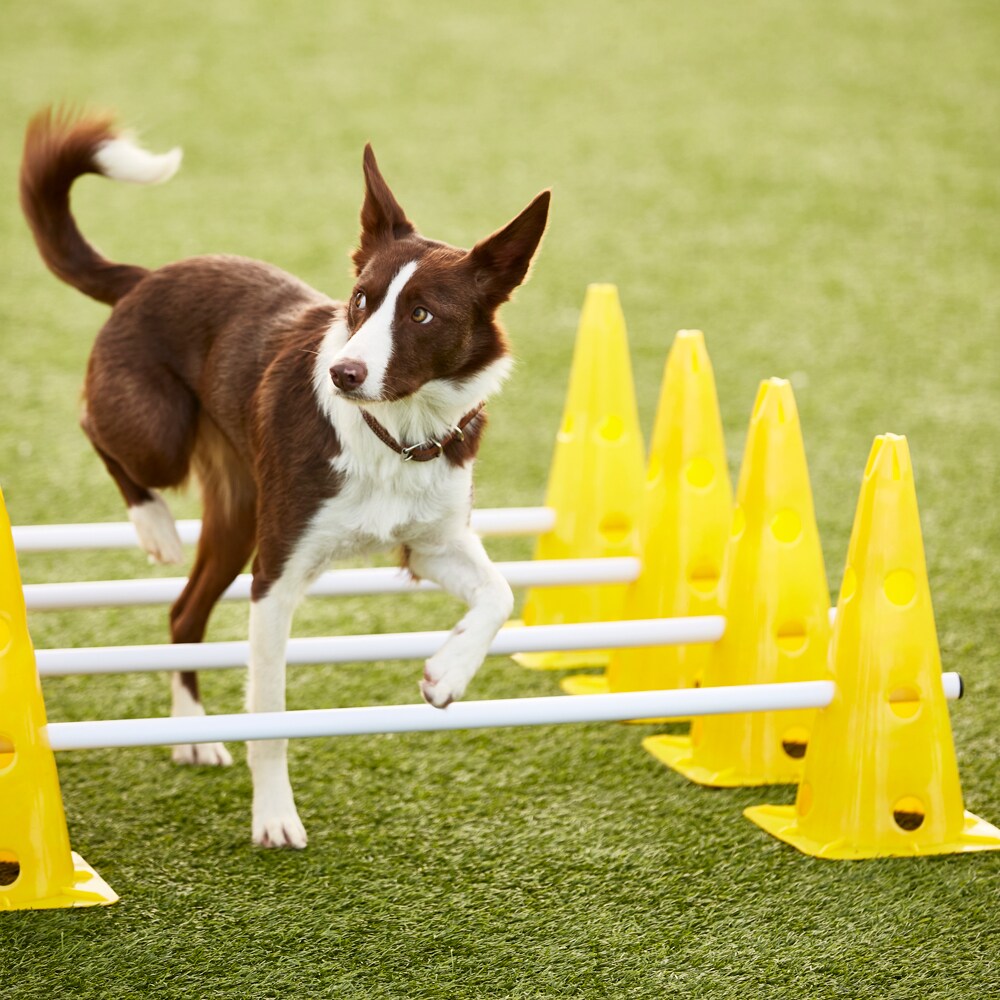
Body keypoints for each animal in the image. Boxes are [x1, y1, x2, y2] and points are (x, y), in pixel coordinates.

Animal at [19, 107, 552, 844]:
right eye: (359, 300)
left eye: (421, 314)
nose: (343, 373)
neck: (394, 434)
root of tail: (145, 277)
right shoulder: (276, 578)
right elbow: (269, 716)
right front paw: (274, 816)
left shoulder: (432, 545)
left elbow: (499, 594)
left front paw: (446, 676)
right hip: (159, 437)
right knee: (93, 428)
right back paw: (153, 524)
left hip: (239, 516)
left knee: (183, 611)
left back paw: (192, 733)